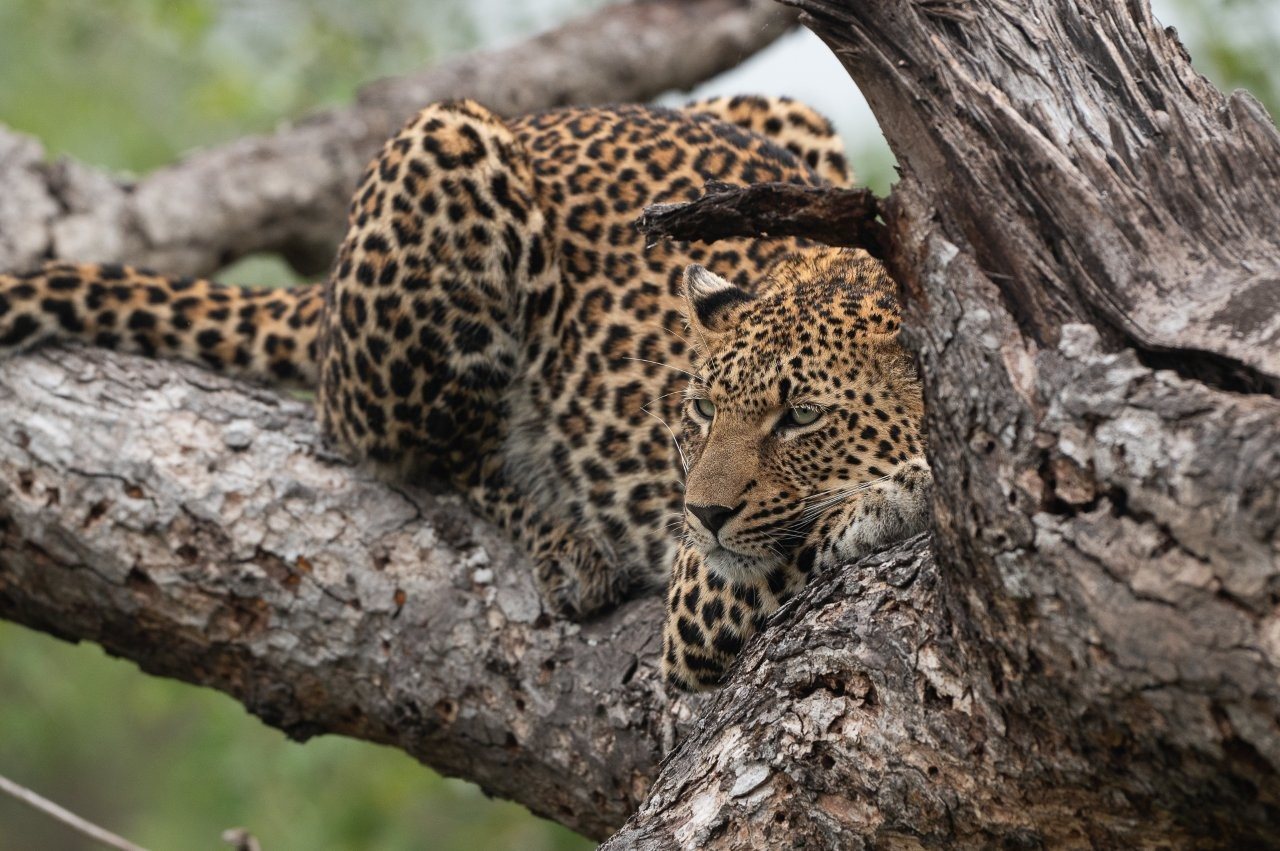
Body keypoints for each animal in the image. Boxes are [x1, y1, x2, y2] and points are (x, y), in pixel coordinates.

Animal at [0, 94, 929, 691]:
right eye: (702, 410)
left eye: (801, 416)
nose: (697, 512)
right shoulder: (700, 591)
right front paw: (892, 496)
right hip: (446, 147)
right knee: (423, 444)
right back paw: (567, 542)